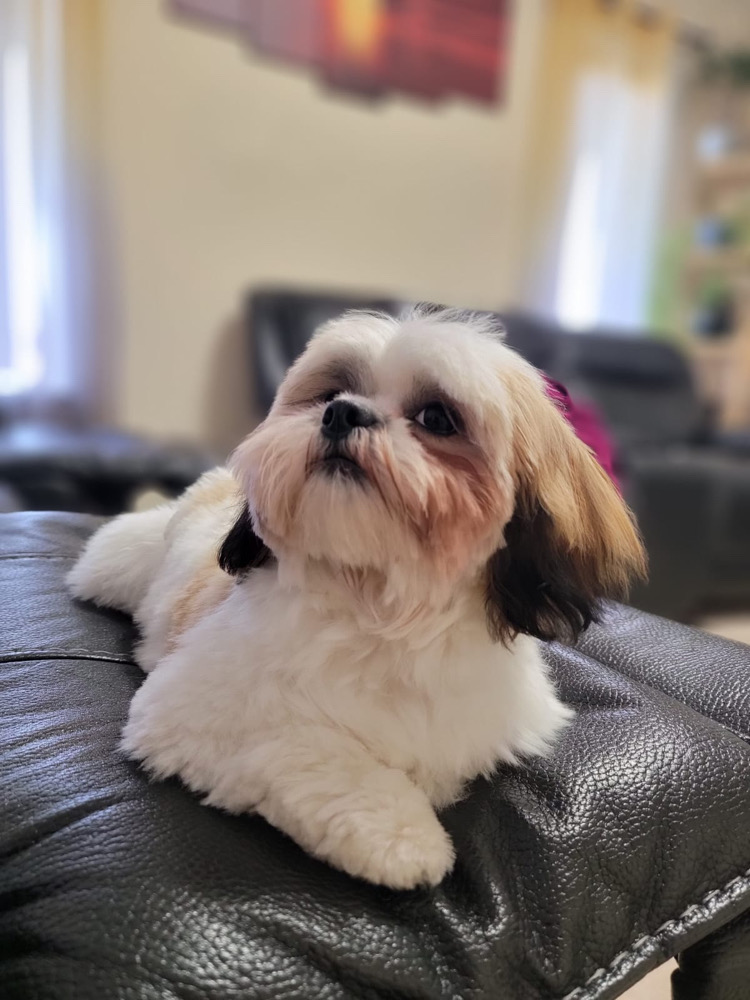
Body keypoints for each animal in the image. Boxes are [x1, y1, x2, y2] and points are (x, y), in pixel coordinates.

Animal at [68, 306, 645, 889]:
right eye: (330, 393)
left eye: (437, 418)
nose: (342, 413)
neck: (379, 608)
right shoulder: (191, 709)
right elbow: (311, 747)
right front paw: (400, 834)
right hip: (126, 562)